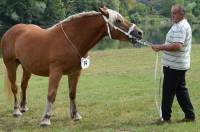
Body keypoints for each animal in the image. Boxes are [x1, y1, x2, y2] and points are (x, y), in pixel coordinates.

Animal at [0, 6, 143, 126]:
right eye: (118, 20)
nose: (139, 33)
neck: (72, 40)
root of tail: (10, 31)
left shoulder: (75, 72)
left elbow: (72, 93)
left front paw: (75, 115)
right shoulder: (56, 72)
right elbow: (51, 94)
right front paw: (46, 119)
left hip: (26, 67)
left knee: (24, 85)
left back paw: (23, 107)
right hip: (11, 65)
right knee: (14, 87)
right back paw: (16, 111)